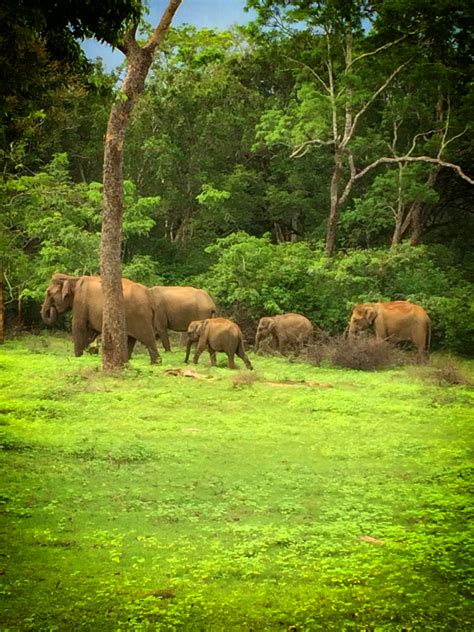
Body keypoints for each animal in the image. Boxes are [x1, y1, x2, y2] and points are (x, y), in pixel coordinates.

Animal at [40, 272, 168, 366]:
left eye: (48, 293)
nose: (51, 309)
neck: (73, 278)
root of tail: (150, 297)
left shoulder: (80, 302)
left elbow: (78, 326)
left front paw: (78, 358)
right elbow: (89, 332)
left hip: (140, 316)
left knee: (148, 338)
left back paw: (155, 364)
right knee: (131, 339)